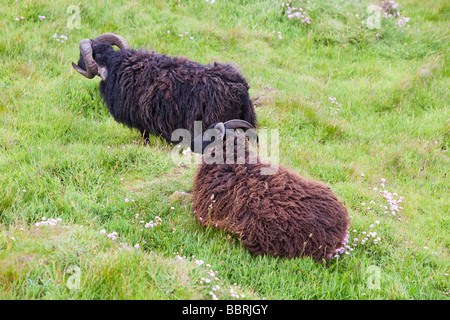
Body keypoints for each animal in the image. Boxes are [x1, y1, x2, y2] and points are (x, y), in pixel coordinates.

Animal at [71, 33, 256, 142]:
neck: (115, 65)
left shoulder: (140, 117)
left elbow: (144, 135)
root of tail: (240, 87)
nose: (77, 63)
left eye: (86, 54)